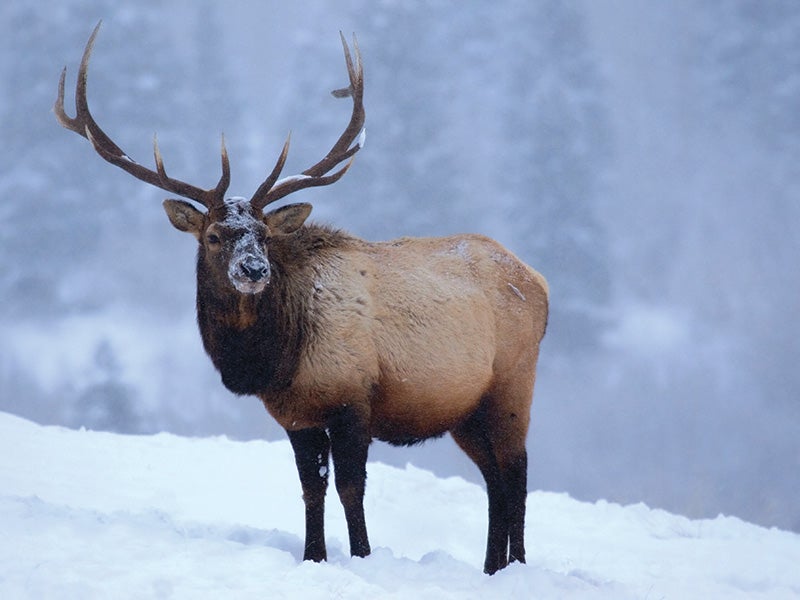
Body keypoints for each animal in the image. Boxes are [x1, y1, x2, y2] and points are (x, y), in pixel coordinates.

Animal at [53, 24, 548, 576]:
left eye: (264, 235)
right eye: (214, 236)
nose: (253, 269)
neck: (276, 359)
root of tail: (539, 280)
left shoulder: (354, 399)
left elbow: (351, 490)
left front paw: (361, 556)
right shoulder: (296, 415)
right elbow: (312, 490)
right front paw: (314, 557)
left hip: (512, 384)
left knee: (516, 474)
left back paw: (517, 566)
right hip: (465, 409)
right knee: (494, 480)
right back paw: (492, 568)